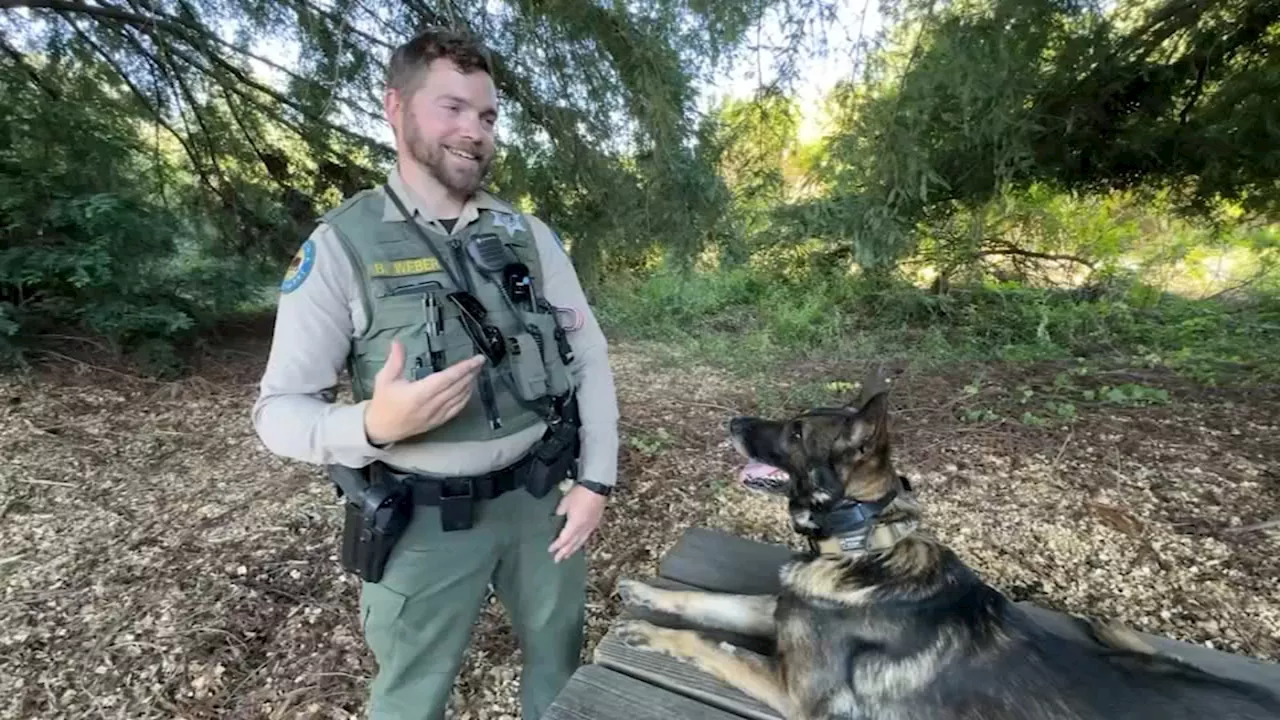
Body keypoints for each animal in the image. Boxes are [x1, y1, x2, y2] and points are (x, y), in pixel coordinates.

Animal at [611, 384, 1280, 712]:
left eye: (796, 432)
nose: (730, 423)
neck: (863, 542)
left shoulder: (793, 690)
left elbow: (709, 641)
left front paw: (648, 632)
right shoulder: (781, 613)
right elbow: (709, 602)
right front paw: (643, 591)